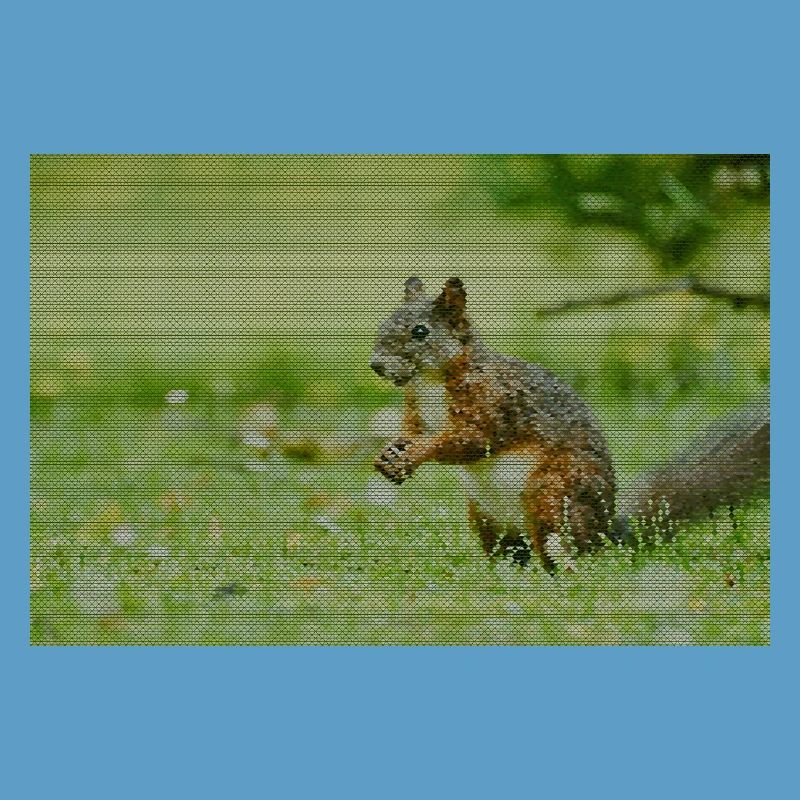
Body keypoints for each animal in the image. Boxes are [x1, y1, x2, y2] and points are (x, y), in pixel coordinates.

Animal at [370, 277, 769, 571]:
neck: (431, 381)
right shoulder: (417, 409)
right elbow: (412, 430)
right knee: (513, 552)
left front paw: (416, 453)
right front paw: (390, 453)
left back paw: (561, 572)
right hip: (486, 517)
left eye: (420, 332)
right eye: (385, 321)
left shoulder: (496, 403)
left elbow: (471, 439)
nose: (376, 365)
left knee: (567, 548)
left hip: (553, 494)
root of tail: (606, 530)